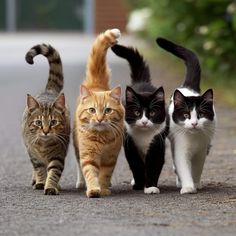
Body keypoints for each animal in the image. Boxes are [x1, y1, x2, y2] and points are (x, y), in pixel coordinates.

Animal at [22, 43, 70, 195]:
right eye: (38, 122)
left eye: (53, 122)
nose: (45, 131)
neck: (44, 147)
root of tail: (48, 91)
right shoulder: (34, 155)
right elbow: (40, 170)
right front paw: (41, 182)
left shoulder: (59, 155)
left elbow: (54, 172)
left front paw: (50, 186)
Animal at [73, 28, 125, 197]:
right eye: (92, 110)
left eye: (108, 110)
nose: (100, 118)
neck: (102, 139)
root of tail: (96, 84)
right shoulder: (88, 156)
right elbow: (90, 172)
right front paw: (94, 189)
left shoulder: (110, 159)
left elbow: (104, 175)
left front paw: (103, 188)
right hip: (77, 147)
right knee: (79, 166)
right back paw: (81, 183)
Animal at [111, 43, 168, 194]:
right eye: (137, 112)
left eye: (152, 113)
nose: (144, 121)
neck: (144, 136)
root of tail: (142, 82)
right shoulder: (129, 143)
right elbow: (136, 165)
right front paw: (139, 184)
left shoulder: (157, 143)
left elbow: (154, 165)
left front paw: (151, 187)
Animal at [156, 37, 217, 195]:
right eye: (185, 114)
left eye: (201, 114)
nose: (194, 123)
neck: (193, 138)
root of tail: (188, 88)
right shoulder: (180, 147)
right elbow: (183, 167)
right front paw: (188, 187)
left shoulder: (201, 150)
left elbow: (197, 169)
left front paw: (195, 183)